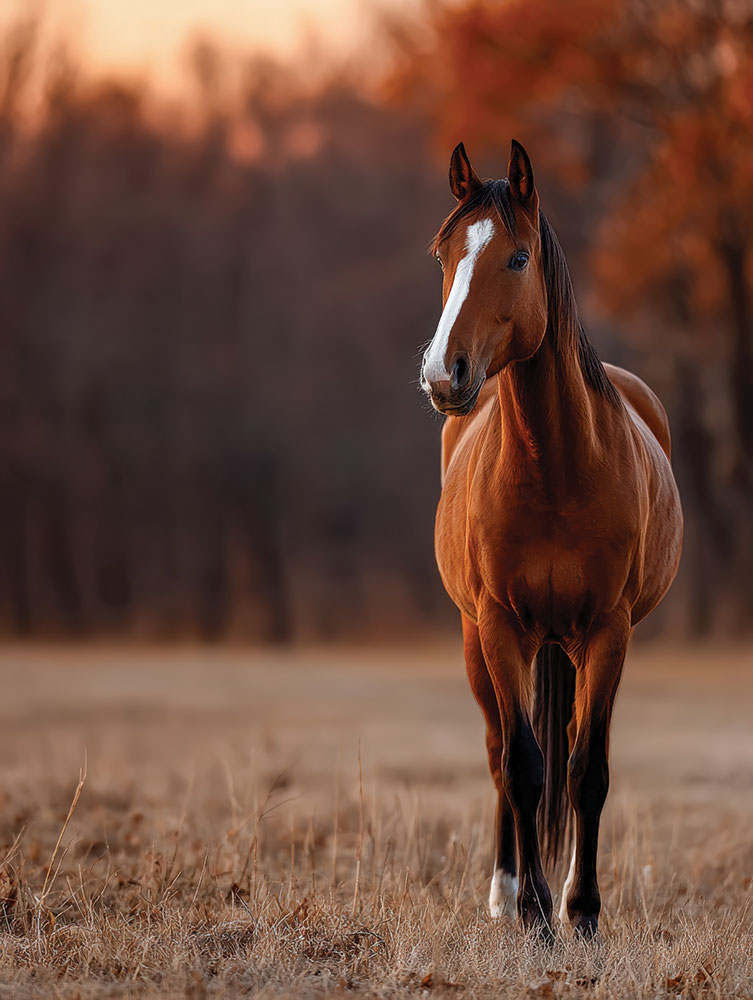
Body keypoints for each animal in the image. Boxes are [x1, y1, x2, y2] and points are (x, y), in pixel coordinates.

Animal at [419, 140, 682, 939]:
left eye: (517, 257)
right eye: (443, 253)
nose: (443, 374)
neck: (553, 466)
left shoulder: (608, 630)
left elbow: (585, 771)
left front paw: (583, 910)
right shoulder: (500, 626)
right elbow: (524, 765)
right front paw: (535, 910)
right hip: (479, 639)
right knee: (499, 751)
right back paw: (505, 892)